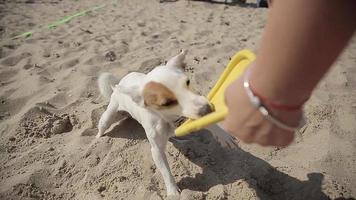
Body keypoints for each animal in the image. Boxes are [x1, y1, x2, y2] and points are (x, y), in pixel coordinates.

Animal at [96, 50, 238, 197]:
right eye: (166, 103)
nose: (207, 109)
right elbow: (166, 172)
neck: (170, 119)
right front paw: (172, 190)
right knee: (102, 125)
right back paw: (98, 137)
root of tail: (123, 80)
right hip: (108, 115)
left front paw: (223, 135)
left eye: (188, 81)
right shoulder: (157, 151)